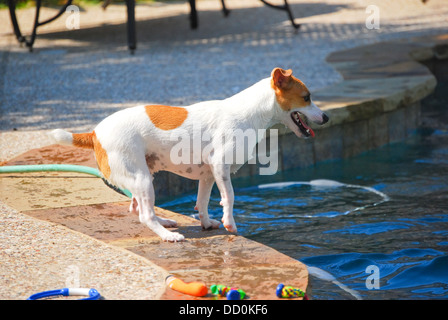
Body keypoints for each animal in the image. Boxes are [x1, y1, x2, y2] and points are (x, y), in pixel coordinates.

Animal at [52, 69, 328, 241]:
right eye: (307, 98)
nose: (326, 117)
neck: (249, 112)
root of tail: (94, 133)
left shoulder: (207, 175)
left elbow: (202, 202)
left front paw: (206, 224)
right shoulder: (220, 168)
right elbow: (229, 197)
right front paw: (229, 223)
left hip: (143, 176)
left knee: (137, 208)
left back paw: (165, 223)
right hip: (142, 178)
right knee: (144, 215)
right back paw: (168, 236)